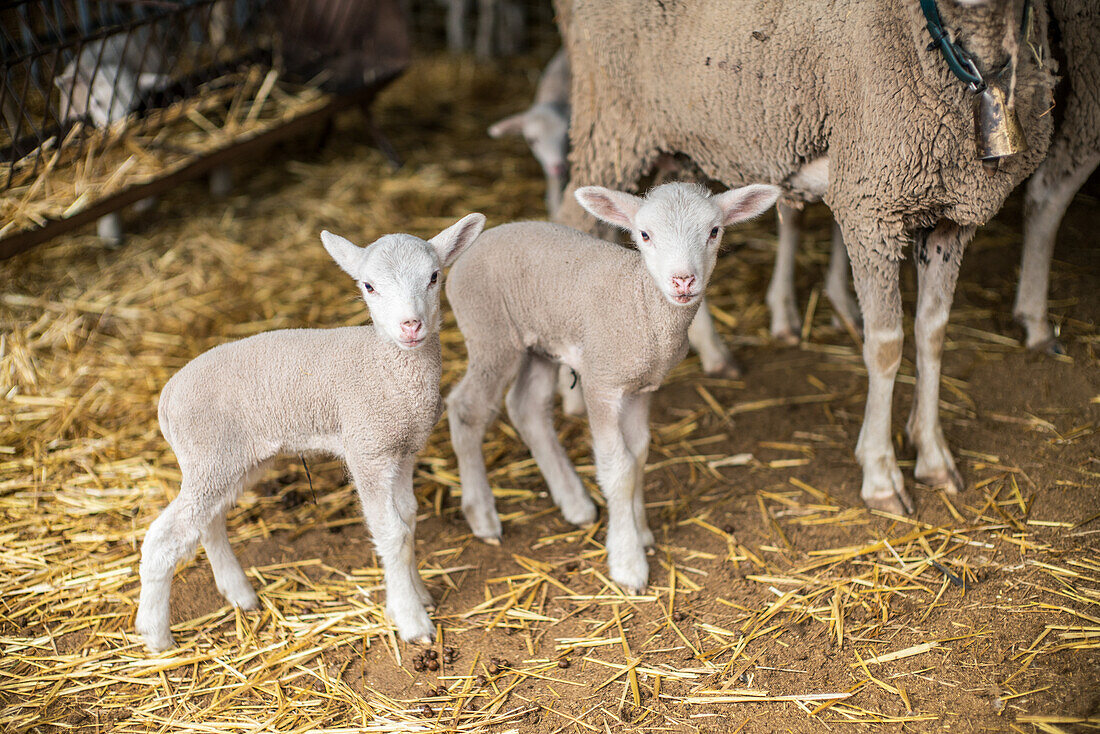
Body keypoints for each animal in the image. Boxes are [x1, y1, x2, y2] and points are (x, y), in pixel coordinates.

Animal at [134, 213, 486, 655]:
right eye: (369, 286)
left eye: (434, 276)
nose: (411, 326)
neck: (385, 365)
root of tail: (166, 396)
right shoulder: (368, 451)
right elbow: (392, 534)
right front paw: (411, 619)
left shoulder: (403, 450)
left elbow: (408, 521)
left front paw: (416, 593)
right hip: (210, 456)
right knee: (163, 538)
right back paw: (156, 636)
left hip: (232, 461)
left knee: (207, 522)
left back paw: (239, 595)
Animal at [442, 182, 778, 589]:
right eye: (645, 234)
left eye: (714, 231)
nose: (683, 280)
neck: (640, 301)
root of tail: (478, 244)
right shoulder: (601, 382)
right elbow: (617, 467)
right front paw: (628, 561)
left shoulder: (641, 388)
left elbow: (639, 456)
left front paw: (641, 531)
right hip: (490, 334)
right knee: (467, 409)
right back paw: (483, 516)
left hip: (540, 344)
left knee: (527, 407)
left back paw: (574, 503)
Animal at [558, 0, 1056, 515]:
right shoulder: (869, 206)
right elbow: (886, 346)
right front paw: (881, 475)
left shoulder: (952, 218)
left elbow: (933, 333)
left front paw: (933, 455)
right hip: (611, 124)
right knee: (571, 220)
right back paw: (573, 394)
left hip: (674, 140)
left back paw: (712, 352)